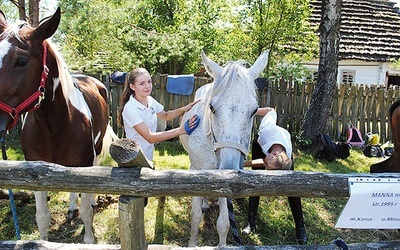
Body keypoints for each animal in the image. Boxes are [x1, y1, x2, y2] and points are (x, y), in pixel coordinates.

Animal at [0, 8, 116, 243]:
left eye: (21, 61)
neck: (53, 127)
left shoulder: (85, 165)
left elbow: (87, 213)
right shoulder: (36, 173)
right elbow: (42, 217)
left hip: (96, 149)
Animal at [180, 50, 268, 246]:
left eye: (254, 110)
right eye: (212, 107)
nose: (228, 168)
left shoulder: (227, 185)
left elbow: (224, 223)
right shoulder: (196, 170)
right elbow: (195, 216)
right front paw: (192, 244)